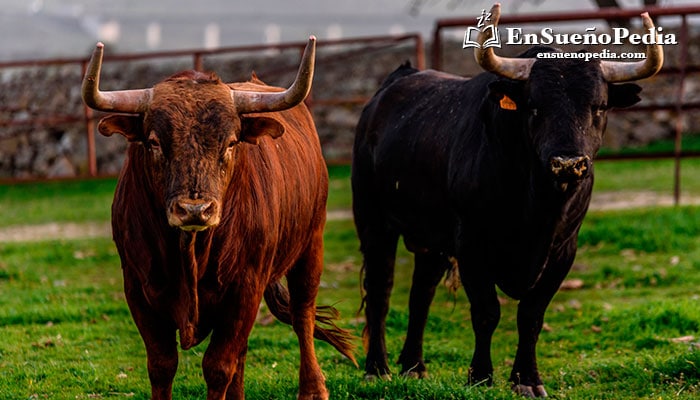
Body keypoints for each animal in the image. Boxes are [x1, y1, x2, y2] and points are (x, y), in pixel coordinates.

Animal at [82, 36, 356, 398]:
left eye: (230, 142)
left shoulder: (245, 288)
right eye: (154, 142)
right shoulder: (138, 288)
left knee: (303, 315)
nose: (194, 210)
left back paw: (313, 387)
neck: (190, 252)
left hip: (311, 245)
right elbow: (162, 365)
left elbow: (217, 367)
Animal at [352, 3, 664, 396]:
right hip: (373, 219)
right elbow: (486, 312)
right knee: (381, 289)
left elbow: (530, 316)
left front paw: (527, 380)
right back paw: (377, 368)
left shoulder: (563, 250)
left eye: (600, 106)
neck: (536, 209)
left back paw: (413, 366)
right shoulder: (472, 244)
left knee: (420, 292)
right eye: (534, 106)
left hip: (431, 240)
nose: (568, 163)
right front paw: (480, 376)